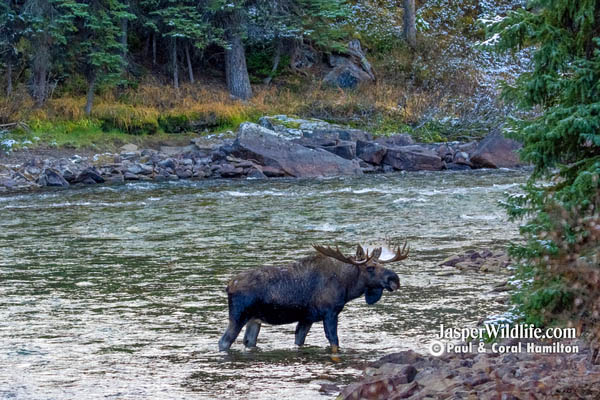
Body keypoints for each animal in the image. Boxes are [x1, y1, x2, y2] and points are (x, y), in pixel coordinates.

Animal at [218, 242, 410, 352]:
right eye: (370, 268)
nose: (394, 279)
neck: (348, 287)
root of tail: (228, 285)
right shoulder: (330, 313)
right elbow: (334, 341)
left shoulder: (307, 318)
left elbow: (299, 341)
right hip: (238, 316)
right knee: (224, 342)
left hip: (254, 320)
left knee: (248, 342)